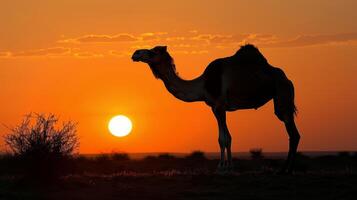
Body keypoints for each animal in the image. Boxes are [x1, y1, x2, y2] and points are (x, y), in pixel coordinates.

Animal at [131, 44, 300, 173]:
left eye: (153, 51)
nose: (135, 53)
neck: (202, 85)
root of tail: (288, 79)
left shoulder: (219, 106)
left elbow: (225, 138)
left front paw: (224, 167)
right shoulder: (215, 108)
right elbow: (223, 138)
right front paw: (226, 166)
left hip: (283, 94)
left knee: (293, 133)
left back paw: (287, 169)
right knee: (293, 133)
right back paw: (286, 168)